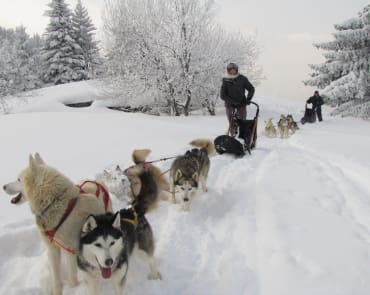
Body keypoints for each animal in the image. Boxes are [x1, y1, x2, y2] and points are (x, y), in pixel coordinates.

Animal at [1, 154, 111, 295]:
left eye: (18, 179)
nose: (3, 186)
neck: (55, 203)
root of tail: (96, 182)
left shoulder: (70, 251)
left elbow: (72, 278)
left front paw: (73, 288)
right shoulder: (52, 249)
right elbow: (56, 278)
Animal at [78, 161, 160, 294]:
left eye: (112, 243)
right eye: (97, 244)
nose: (109, 262)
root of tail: (131, 209)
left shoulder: (119, 279)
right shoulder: (90, 281)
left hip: (142, 249)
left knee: (151, 258)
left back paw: (154, 275)